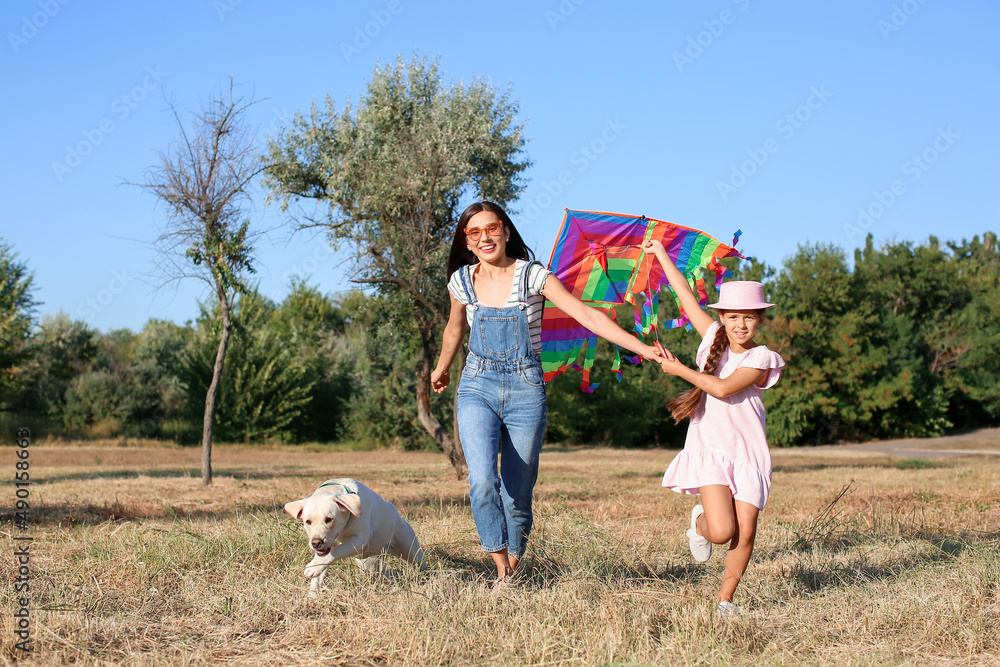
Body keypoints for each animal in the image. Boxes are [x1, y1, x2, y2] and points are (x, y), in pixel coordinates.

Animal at [284, 480, 428, 596]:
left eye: (329, 519)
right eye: (308, 521)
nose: (316, 543)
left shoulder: (360, 540)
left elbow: (336, 551)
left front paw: (312, 567)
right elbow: (318, 574)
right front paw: (312, 595)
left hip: (412, 551)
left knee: (420, 564)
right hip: (368, 564)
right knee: (385, 573)